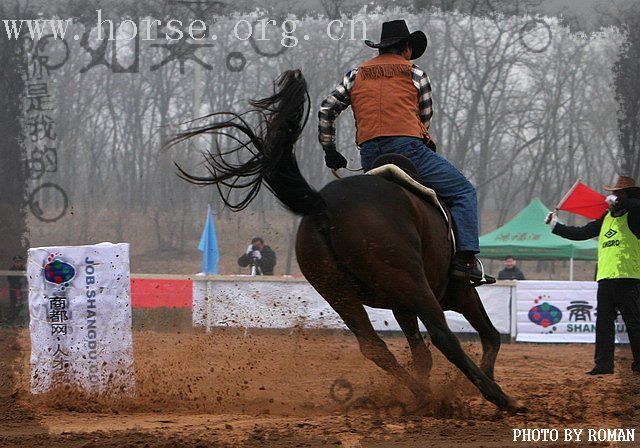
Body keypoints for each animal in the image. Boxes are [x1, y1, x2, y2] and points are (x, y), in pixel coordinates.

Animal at [170, 69, 524, 412]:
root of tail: (324, 204)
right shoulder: (457, 292)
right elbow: (489, 336)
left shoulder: (401, 304)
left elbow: (422, 353)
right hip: (414, 285)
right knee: (444, 336)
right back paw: (499, 397)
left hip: (339, 291)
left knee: (374, 346)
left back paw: (422, 394)